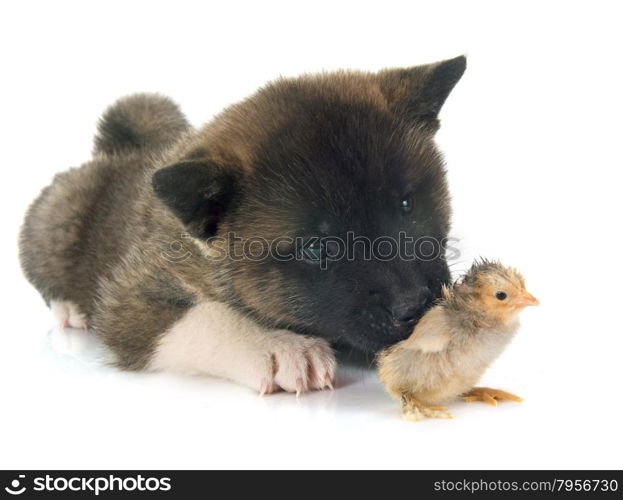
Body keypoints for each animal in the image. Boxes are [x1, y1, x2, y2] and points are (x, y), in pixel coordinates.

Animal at [19, 56, 466, 394]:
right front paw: (277, 346)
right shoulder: (131, 301)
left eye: (407, 204)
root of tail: (117, 153)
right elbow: (205, 318)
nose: (415, 304)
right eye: (318, 248)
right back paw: (69, 307)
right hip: (58, 215)